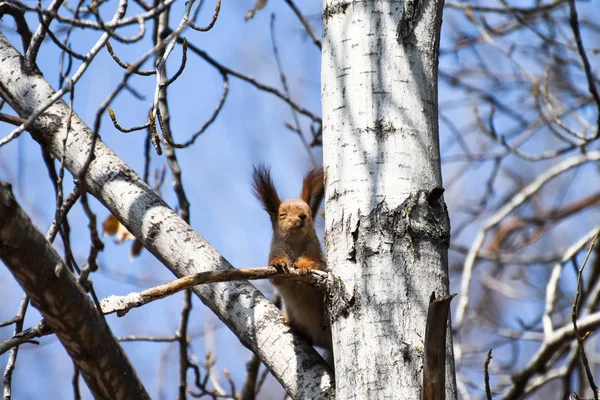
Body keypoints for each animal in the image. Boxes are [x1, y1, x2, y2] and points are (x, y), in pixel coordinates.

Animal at [250, 164, 332, 358]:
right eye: (282, 214)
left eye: (309, 210)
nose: (302, 216)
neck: (295, 243)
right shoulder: (275, 250)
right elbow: (275, 276)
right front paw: (279, 264)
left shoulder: (316, 254)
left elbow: (315, 264)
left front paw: (304, 266)